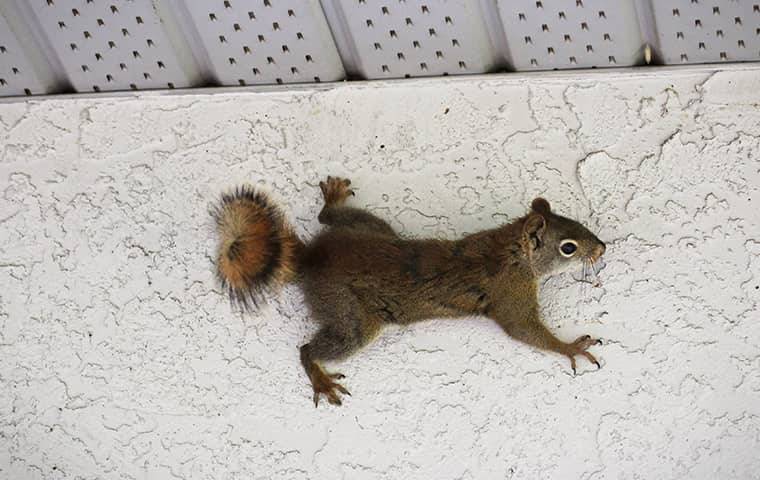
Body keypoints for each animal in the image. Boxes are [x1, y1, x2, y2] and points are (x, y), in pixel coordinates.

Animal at [212, 178, 604, 406]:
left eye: (577, 223)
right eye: (568, 248)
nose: (601, 248)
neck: (510, 249)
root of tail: (311, 258)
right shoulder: (510, 293)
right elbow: (523, 329)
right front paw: (571, 347)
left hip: (372, 228)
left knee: (328, 219)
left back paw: (334, 200)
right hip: (351, 316)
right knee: (309, 348)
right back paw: (321, 379)